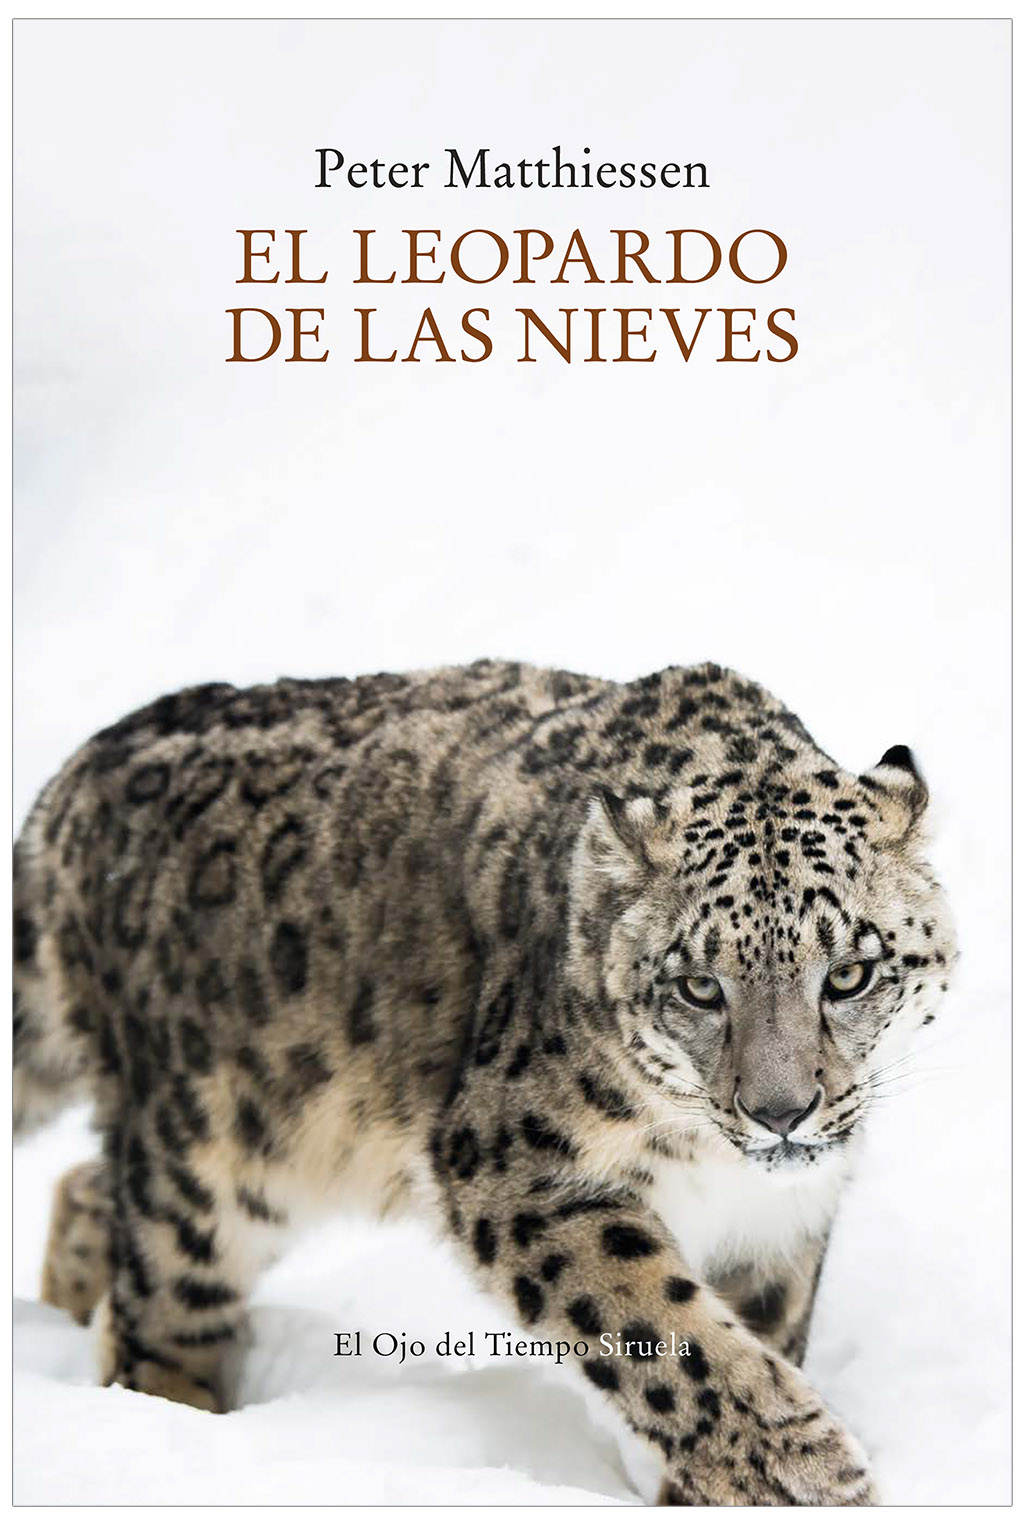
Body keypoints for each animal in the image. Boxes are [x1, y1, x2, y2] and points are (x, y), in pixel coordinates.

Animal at [13, 659, 957, 1504]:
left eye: (849, 974)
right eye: (699, 986)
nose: (780, 1112)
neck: (717, 1169)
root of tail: (76, 774)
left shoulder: (779, 1225)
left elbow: (759, 1332)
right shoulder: (518, 1169)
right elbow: (663, 1330)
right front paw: (810, 1471)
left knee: (90, 1186)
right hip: (205, 1160)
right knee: (159, 1306)